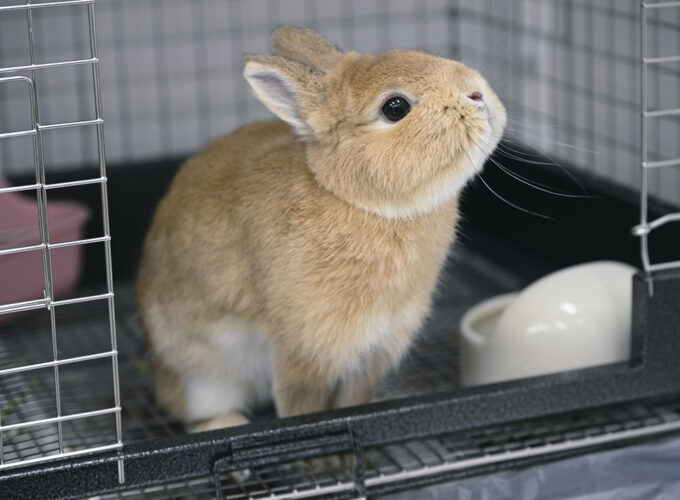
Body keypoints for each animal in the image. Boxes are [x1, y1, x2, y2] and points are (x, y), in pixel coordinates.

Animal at [137, 26, 504, 434]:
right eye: (395, 108)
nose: (477, 93)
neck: (360, 202)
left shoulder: (376, 349)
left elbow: (353, 401)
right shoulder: (307, 349)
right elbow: (303, 406)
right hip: (204, 377)